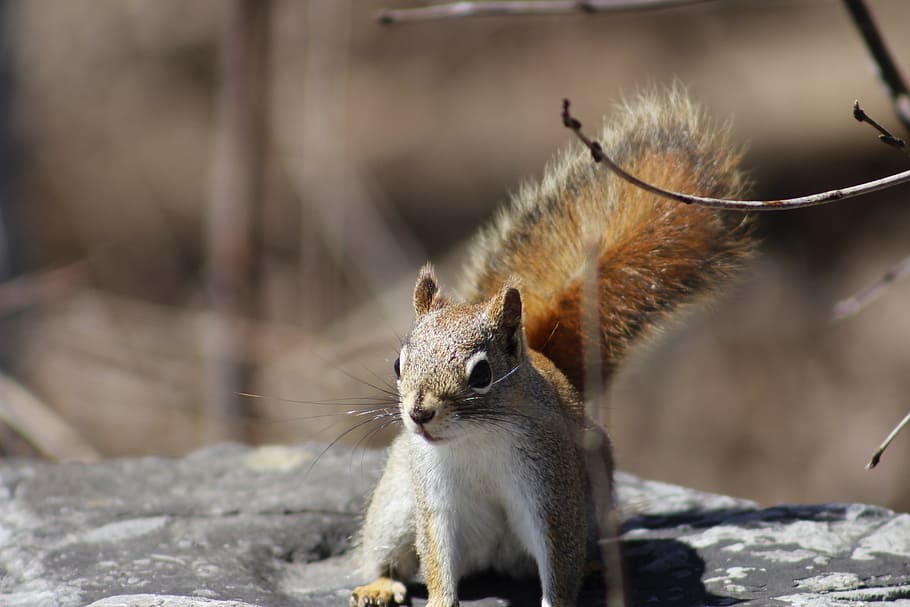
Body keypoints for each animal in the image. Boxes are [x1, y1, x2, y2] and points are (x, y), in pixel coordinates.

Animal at [349, 89, 754, 607]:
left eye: (482, 373)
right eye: (399, 364)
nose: (419, 414)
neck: (476, 439)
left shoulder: (551, 486)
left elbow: (557, 555)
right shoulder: (434, 497)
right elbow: (436, 555)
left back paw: (597, 568)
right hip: (394, 504)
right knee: (386, 552)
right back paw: (379, 585)